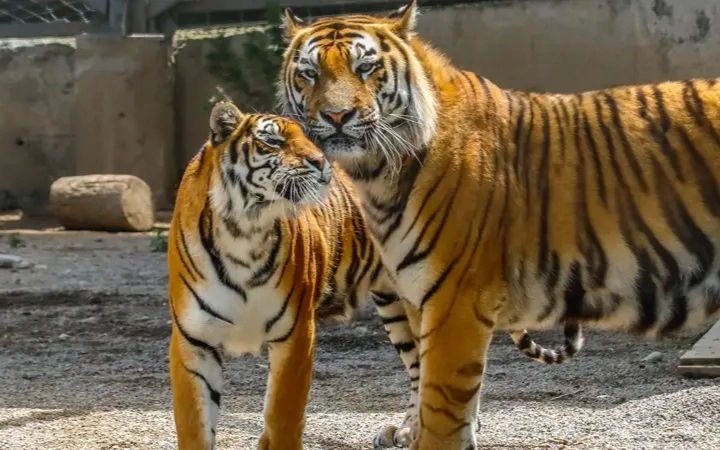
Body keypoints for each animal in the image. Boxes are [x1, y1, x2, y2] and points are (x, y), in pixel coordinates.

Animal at [277, 1, 720, 449]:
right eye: (309, 73)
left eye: (366, 67)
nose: (336, 115)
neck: (379, 174)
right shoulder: (421, 297)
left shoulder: (454, 300)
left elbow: (441, 413)